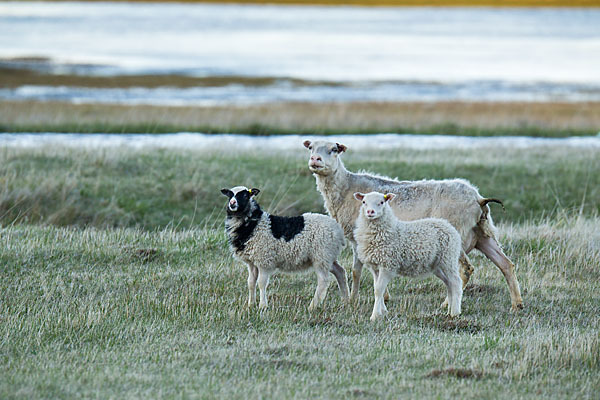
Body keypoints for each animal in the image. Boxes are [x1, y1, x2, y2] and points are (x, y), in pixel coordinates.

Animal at [221, 184, 352, 310]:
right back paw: (345, 301)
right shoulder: (252, 262)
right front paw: (250, 305)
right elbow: (251, 283)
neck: (253, 224)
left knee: (323, 280)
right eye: (229, 195)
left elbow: (261, 283)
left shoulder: (264, 260)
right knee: (340, 272)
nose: (232, 203)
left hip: (321, 256)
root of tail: (338, 230)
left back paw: (313, 306)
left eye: (244, 195)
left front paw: (263, 306)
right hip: (328, 256)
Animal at [356, 191, 464, 322]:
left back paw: (455, 312)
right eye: (364, 202)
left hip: (449, 259)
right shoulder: (375, 267)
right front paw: (383, 312)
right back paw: (449, 310)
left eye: (381, 202)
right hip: (438, 265)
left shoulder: (388, 265)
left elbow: (378, 290)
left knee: (456, 283)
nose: (370, 212)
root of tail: (449, 226)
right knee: (449, 284)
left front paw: (375, 316)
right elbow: (377, 289)